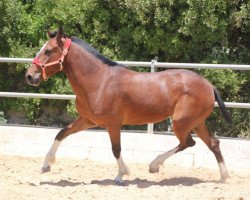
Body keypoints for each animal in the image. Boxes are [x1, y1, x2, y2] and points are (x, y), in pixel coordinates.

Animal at [25, 27, 230, 184]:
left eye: (48, 51)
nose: (29, 76)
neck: (99, 81)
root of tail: (209, 85)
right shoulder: (87, 120)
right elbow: (61, 133)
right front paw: (46, 165)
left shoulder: (113, 124)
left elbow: (116, 149)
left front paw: (121, 175)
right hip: (196, 123)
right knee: (213, 143)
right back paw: (223, 177)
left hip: (181, 122)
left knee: (188, 142)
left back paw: (154, 165)